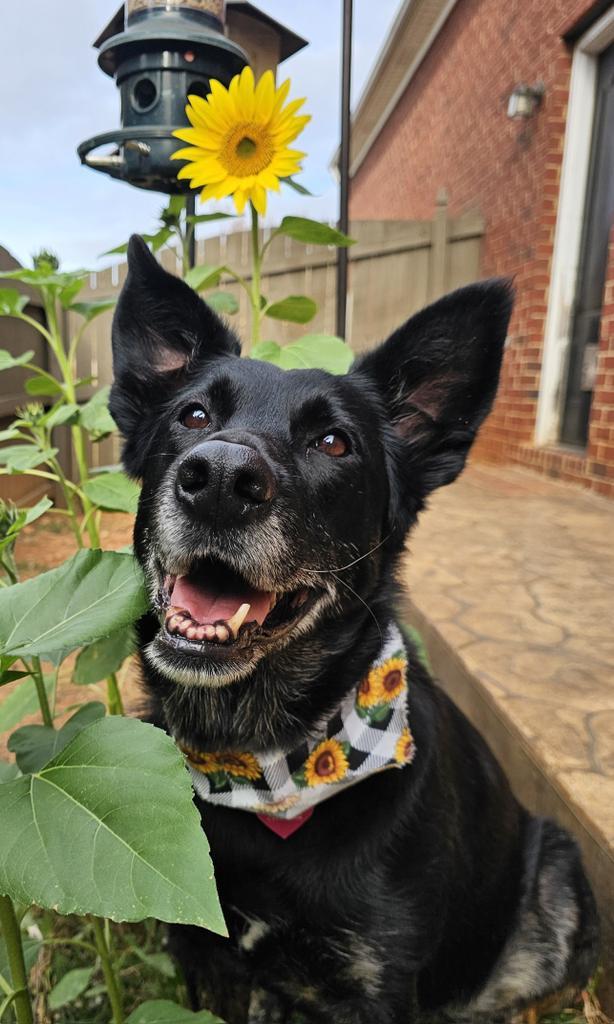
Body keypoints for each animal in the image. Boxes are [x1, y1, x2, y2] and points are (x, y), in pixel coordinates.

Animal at [108, 237, 593, 1024]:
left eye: (334, 443)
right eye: (193, 415)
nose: (219, 479)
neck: (269, 760)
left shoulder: (376, 985)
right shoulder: (205, 959)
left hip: (557, 878)